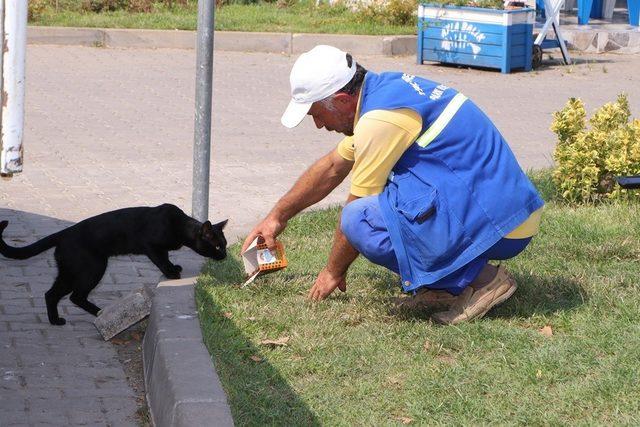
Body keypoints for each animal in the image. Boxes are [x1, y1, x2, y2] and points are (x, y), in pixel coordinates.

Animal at [0, 206, 228, 326]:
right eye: (217, 246)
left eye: (225, 245)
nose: (225, 255)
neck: (180, 226)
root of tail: (62, 234)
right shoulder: (151, 246)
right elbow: (162, 261)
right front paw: (172, 273)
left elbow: (166, 258)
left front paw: (175, 268)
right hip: (93, 268)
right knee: (75, 296)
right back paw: (100, 313)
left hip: (68, 272)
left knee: (51, 294)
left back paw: (56, 320)